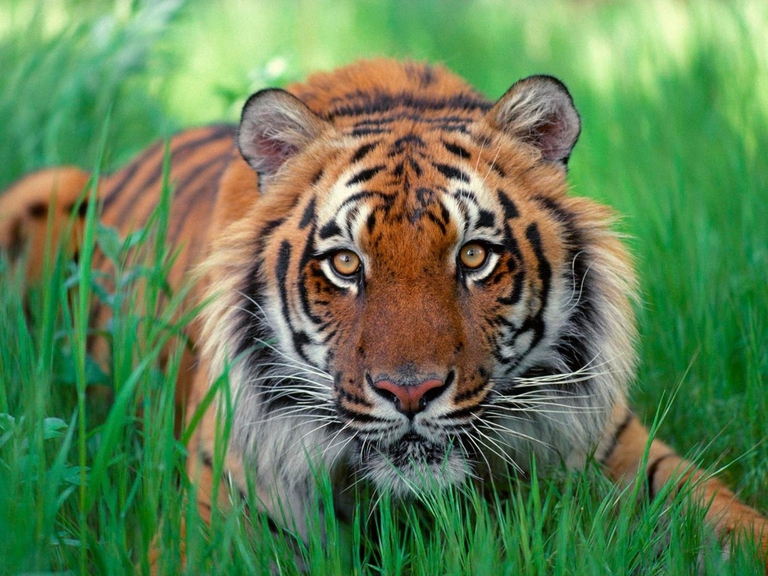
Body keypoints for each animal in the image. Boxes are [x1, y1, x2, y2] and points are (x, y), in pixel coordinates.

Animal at [1, 59, 766, 569]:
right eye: (345, 265)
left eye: (474, 256)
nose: (410, 393)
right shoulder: (217, 517)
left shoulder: (620, 451)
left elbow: (730, 522)